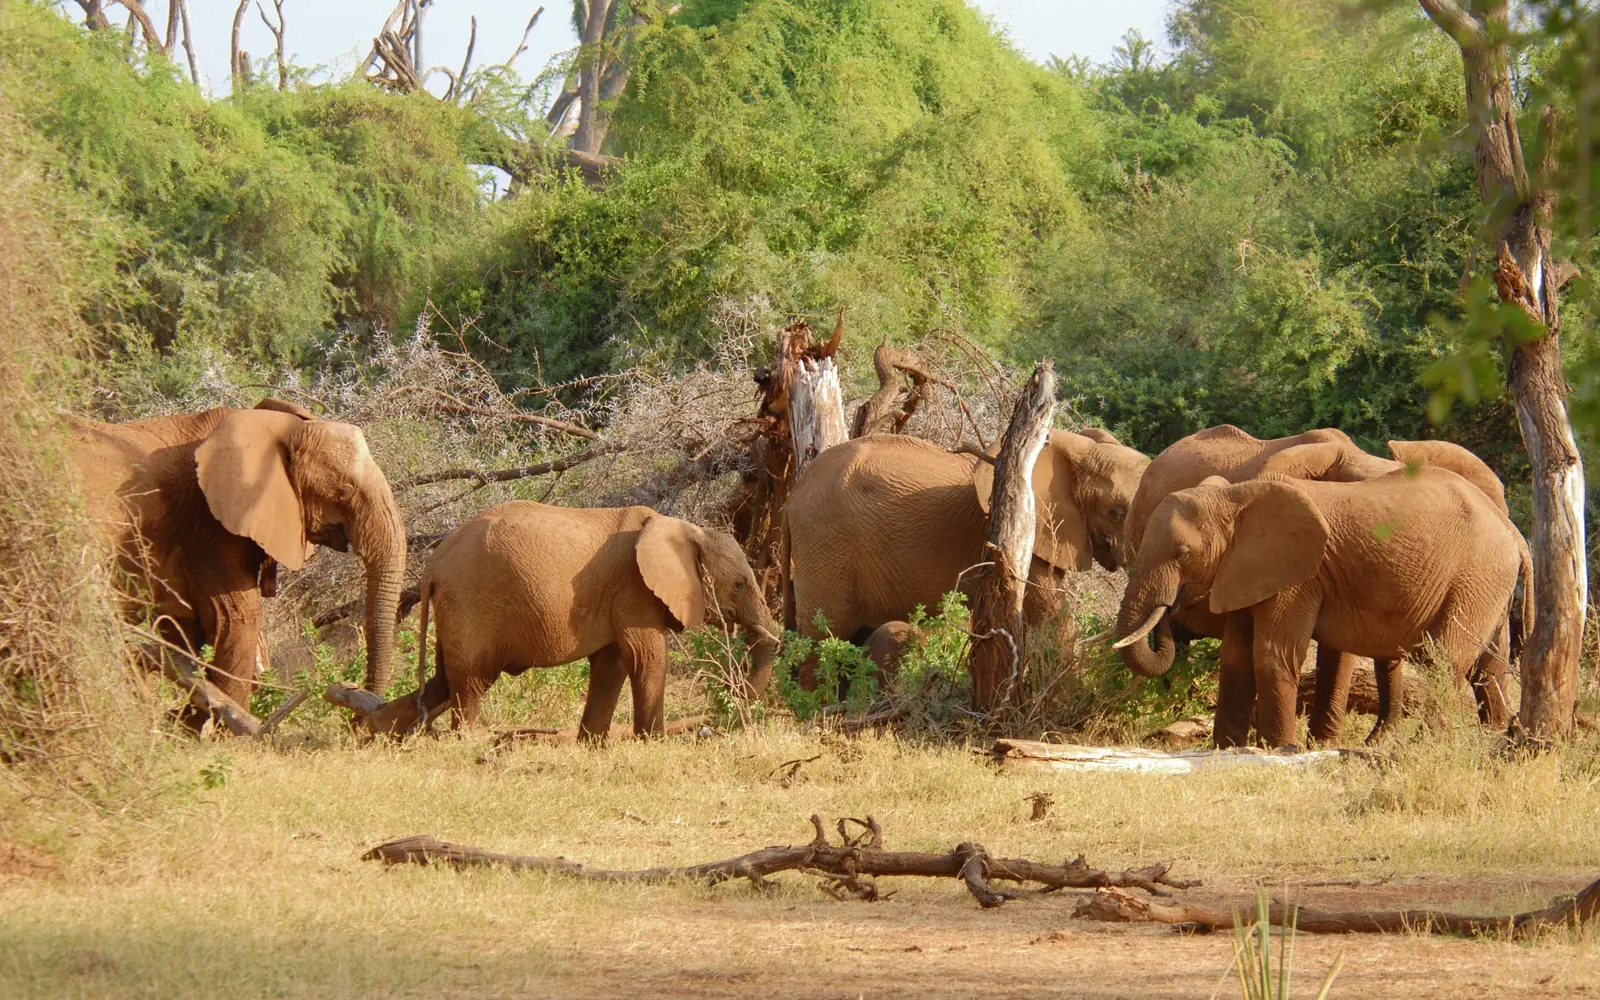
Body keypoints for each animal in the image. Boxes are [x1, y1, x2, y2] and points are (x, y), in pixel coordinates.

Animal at [66, 398, 408, 720]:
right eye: (344, 491)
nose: (358, 717)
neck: (278, 427)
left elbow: (186, 632)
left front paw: (189, 723)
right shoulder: (207, 524)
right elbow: (235, 617)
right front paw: (221, 730)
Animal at [356, 502, 779, 740]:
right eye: (739, 585)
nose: (733, 698)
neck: (685, 529)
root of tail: (433, 565)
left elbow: (611, 665)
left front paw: (593, 745)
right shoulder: (634, 589)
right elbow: (645, 659)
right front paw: (655, 743)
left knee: (445, 680)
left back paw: (373, 732)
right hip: (471, 604)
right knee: (470, 683)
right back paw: (465, 742)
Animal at [786, 430, 1149, 697]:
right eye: (1116, 513)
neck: (1078, 447)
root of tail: (794, 493)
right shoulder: (1021, 531)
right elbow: (1052, 618)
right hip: (825, 541)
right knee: (825, 635)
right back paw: (814, 707)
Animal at [1118, 424, 1518, 743]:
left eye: (1183, 554)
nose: (1174, 604)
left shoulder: (1312, 569)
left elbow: (1279, 654)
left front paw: (1290, 747)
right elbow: (1242, 654)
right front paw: (1236, 748)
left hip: (1478, 577)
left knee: (1455, 662)